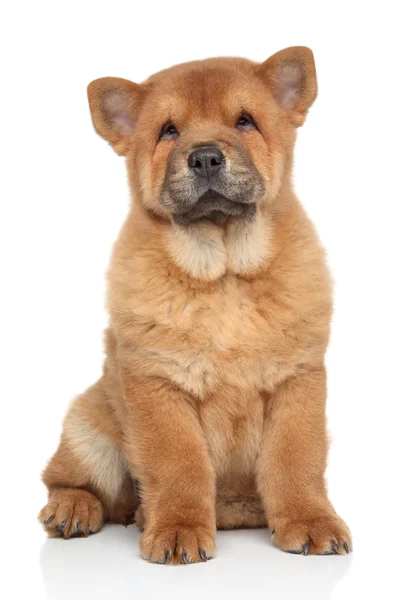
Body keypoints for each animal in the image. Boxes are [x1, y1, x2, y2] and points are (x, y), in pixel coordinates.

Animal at [38, 45, 350, 564]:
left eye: (245, 121)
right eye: (169, 131)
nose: (204, 157)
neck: (223, 275)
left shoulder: (297, 380)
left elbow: (295, 461)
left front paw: (311, 523)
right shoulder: (158, 385)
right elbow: (180, 465)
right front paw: (178, 532)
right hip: (88, 429)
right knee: (68, 480)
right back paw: (73, 510)